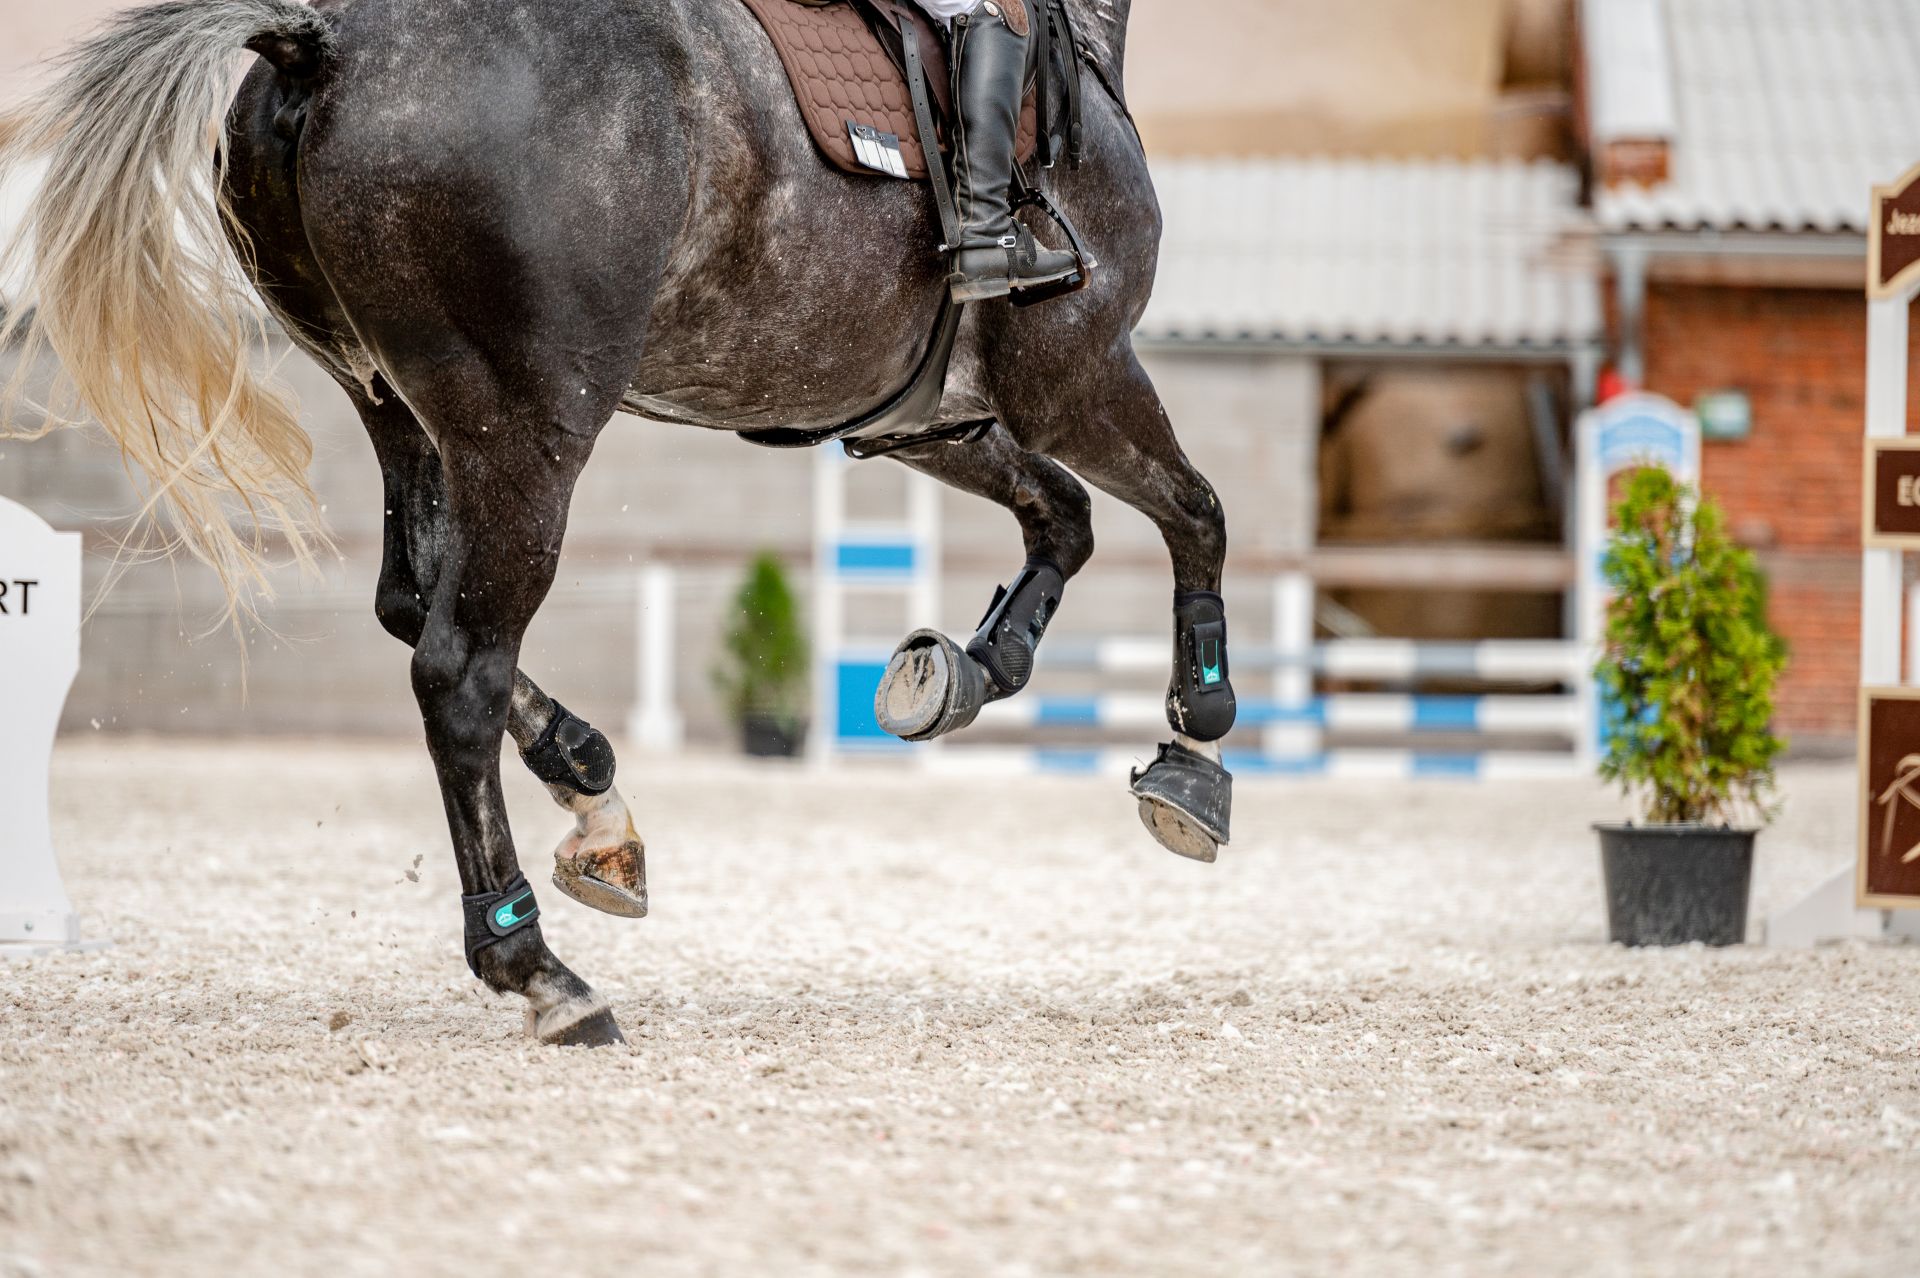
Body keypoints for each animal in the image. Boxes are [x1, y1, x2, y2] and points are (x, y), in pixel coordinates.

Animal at [0, 0, 1238, 1047]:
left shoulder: (924, 415)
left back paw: (594, 792)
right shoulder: (1078, 375)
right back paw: (541, 972)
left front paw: (964, 673)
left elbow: (1067, 518)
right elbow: (1197, 514)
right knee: (458, 666)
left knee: (413, 603)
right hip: (531, 425)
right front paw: (1195, 749)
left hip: (397, 406)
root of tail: (329, 38)